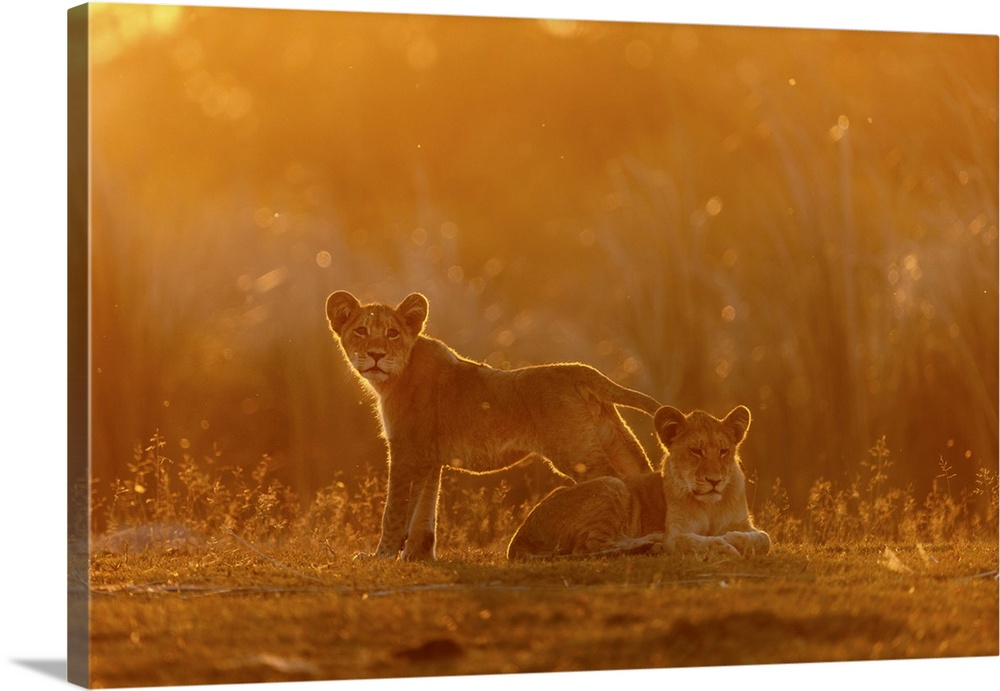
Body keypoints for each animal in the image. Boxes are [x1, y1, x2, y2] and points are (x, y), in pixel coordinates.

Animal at [325, 290, 662, 561]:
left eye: (392, 333)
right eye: (361, 330)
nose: (376, 354)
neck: (396, 376)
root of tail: (583, 372)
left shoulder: (407, 450)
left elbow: (395, 510)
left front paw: (380, 556)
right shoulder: (428, 458)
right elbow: (424, 511)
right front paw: (417, 556)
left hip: (578, 454)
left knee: (610, 486)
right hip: (612, 440)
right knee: (638, 475)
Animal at [506, 404, 770, 560]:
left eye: (724, 451)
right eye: (696, 451)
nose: (714, 481)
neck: (712, 505)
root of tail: (518, 537)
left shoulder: (743, 522)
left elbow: (763, 539)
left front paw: (735, 539)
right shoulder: (677, 533)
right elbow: (698, 541)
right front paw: (726, 546)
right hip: (613, 485)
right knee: (590, 546)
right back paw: (651, 543)